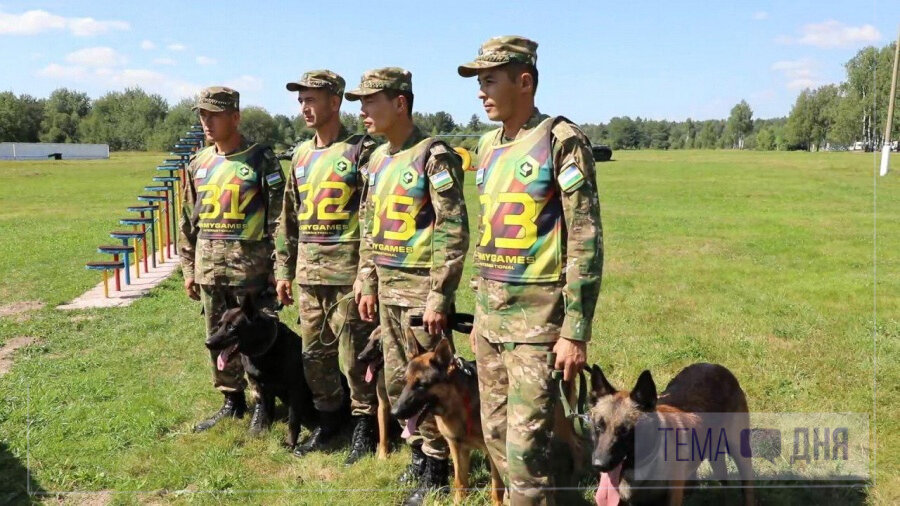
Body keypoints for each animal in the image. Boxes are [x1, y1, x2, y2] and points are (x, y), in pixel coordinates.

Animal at [204, 294, 316, 448]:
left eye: (231, 327)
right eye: (219, 325)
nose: (208, 343)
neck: (264, 351)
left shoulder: (294, 391)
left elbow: (293, 421)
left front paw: (290, 443)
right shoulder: (262, 388)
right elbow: (267, 413)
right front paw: (266, 433)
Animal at [394, 338, 506, 504]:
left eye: (421, 385)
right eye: (405, 382)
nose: (394, 412)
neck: (459, 406)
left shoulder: (494, 451)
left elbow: (497, 485)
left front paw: (498, 503)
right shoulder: (456, 447)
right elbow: (460, 481)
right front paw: (459, 502)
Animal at [588, 364, 756, 506]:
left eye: (625, 431)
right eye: (598, 426)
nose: (598, 465)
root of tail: (717, 367)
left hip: (740, 451)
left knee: (747, 487)